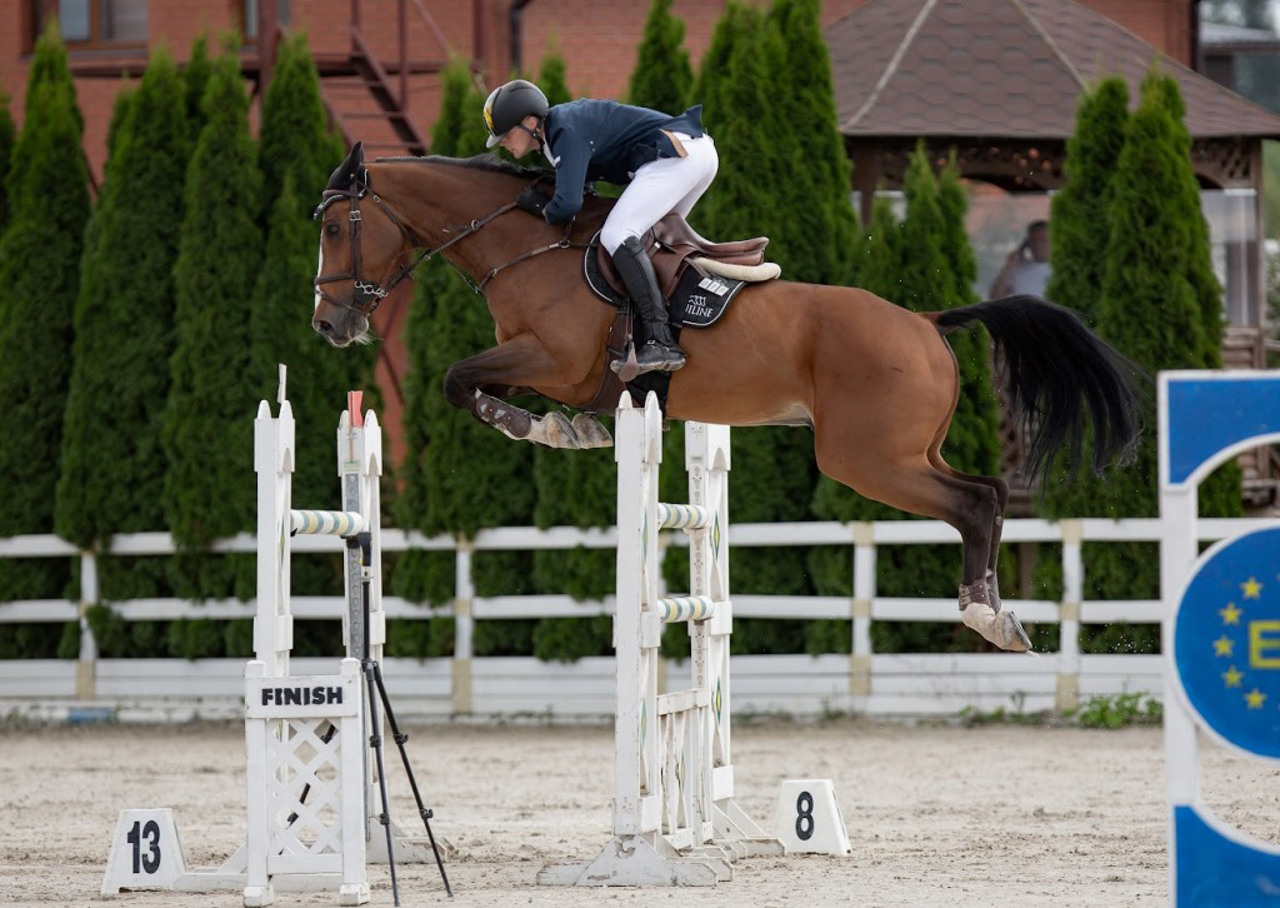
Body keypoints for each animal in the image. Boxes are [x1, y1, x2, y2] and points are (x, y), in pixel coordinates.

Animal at [309, 141, 1141, 650]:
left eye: (334, 228)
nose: (329, 324)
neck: (525, 246)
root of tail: (926, 322)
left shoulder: (554, 360)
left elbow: (460, 381)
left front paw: (551, 431)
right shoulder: (537, 365)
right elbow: (474, 381)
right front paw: (568, 429)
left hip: (867, 460)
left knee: (973, 503)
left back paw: (982, 614)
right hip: (908, 451)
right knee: (991, 493)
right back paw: (1000, 615)